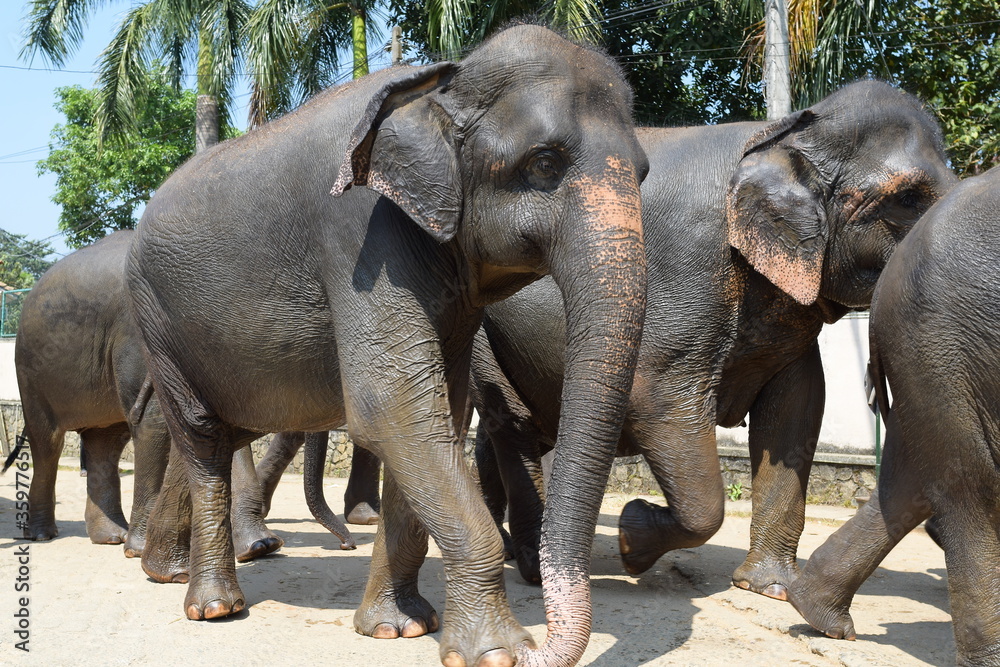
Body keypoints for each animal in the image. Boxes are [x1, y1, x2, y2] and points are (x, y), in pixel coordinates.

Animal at [13, 230, 285, 560]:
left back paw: (111, 537)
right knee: (48, 443)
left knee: (105, 443)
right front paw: (142, 551)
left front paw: (261, 547)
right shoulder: (136, 331)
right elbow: (155, 422)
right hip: (30, 372)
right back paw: (43, 535)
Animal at [125, 24, 648, 667]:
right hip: (156, 316)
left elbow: (440, 415)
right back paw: (214, 606)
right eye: (545, 163)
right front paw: (495, 653)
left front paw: (399, 628)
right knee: (201, 437)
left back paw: (165, 572)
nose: (541, 645)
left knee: (221, 433)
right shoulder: (361, 237)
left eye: (644, 173)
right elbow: (393, 409)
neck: (446, 81)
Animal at [470, 80, 957, 597]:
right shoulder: (691, 259)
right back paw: (530, 567)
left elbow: (797, 406)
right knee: (514, 426)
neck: (782, 134)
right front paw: (631, 538)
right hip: (485, 329)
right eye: (908, 199)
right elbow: (659, 394)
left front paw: (769, 588)